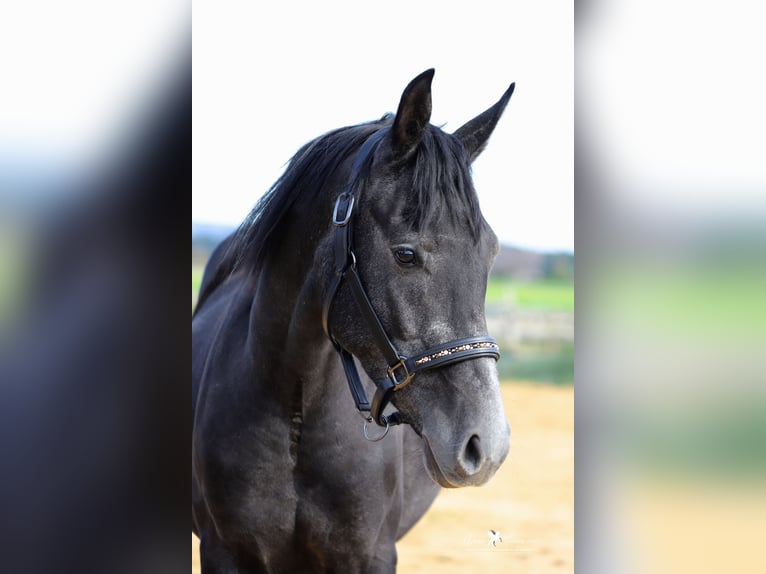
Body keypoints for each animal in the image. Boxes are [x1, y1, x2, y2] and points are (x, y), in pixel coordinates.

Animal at [192, 71, 516, 574]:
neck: (296, 413)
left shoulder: (370, 555)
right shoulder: (224, 552)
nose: (487, 445)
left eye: (491, 252)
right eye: (405, 254)